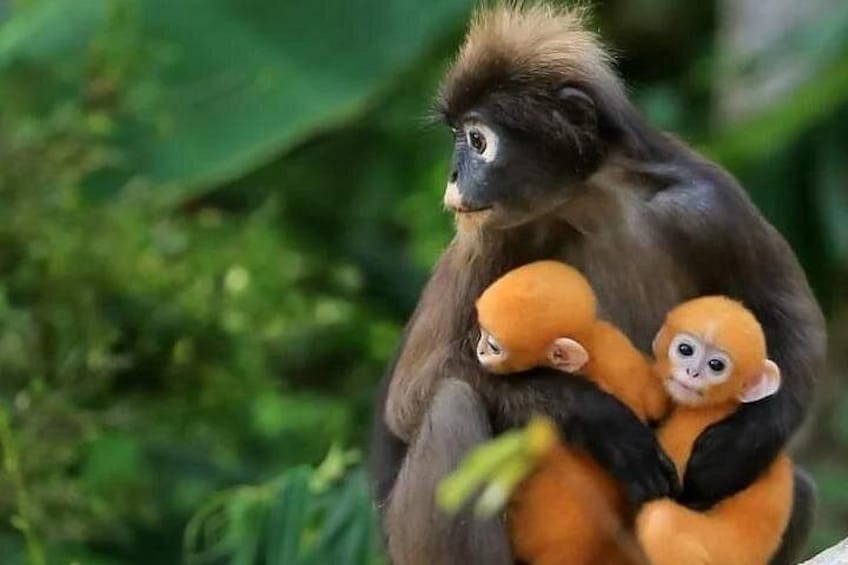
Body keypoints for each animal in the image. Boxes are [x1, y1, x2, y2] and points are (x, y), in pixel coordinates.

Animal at [636, 296, 794, 565]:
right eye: (685, 350)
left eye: (716, 365)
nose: (692, 373)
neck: (717, 407)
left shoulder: (690, 430)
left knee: (660, 521)